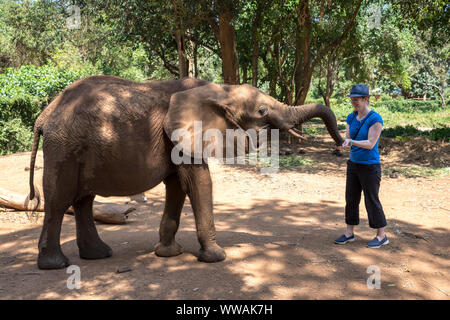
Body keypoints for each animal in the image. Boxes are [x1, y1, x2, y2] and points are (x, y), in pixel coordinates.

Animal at [28, 75, 342, 270]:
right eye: (262, 111)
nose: (341, 144)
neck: (218, 89)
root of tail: (43, 116)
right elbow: (198, 182)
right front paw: (216, 257)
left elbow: (177, 186)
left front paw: (169, 254)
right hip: (63, 149)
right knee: (59, 202)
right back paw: (56, 265)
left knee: (83, 201)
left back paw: (98, 255)